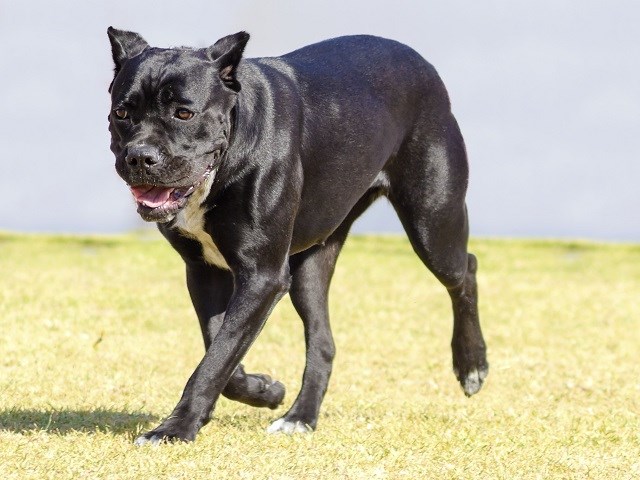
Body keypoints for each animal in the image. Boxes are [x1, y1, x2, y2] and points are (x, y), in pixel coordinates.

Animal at [107, 28, 488, 444]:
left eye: (184, 113)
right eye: (122, 113)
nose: (140, 157)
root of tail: (420, 62)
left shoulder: (263, 277)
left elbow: (217, 357)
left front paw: (175, 428)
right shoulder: (205, 271)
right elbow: (222, 353)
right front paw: (265, 389)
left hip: (433, 224)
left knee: (465, 271)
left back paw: (472, 365)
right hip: (310, 268)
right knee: (323, 342)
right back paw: (300, 417)